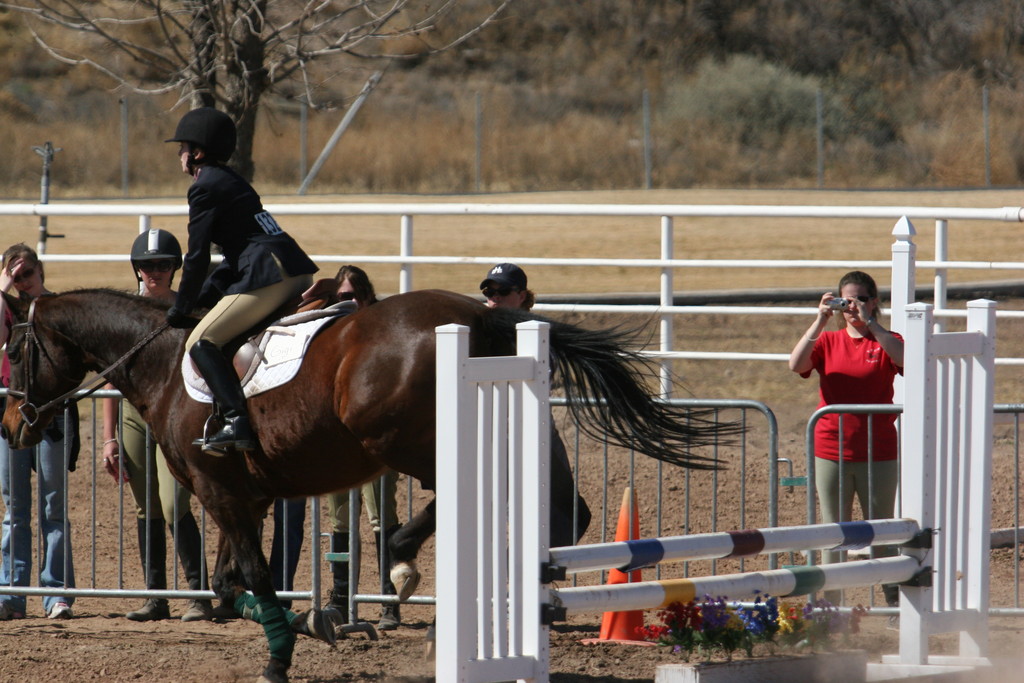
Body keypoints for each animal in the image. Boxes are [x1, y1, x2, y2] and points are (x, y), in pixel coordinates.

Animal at [0, 288, 737, 683]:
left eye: (13, 350)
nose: (11, 425)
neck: (161, 362)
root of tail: (483, 314)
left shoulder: (221, 494)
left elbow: (252, 581)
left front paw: (282, 653)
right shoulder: (247, 498)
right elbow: (231, 587)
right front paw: (318, 621)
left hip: (399, 438)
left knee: (466, 497)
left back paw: (408, 564)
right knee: (564, 510)